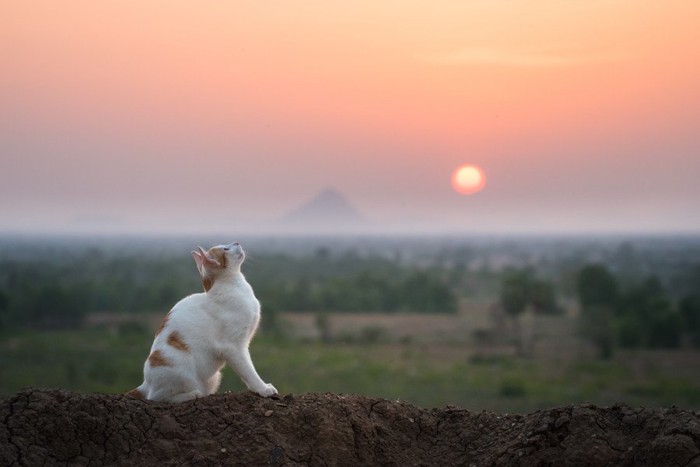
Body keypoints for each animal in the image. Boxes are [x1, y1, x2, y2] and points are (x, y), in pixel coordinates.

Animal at [126, 241, 276, 402]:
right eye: (225, 249)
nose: (237, 242)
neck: (235, 285)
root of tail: (145, 384)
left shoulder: (244, 344)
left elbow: (249, 368)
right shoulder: (233, 347)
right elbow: (248, 371)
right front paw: (263, 388)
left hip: (214, 377)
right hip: (178, 366)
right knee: (157, 397)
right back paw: (192, 394)